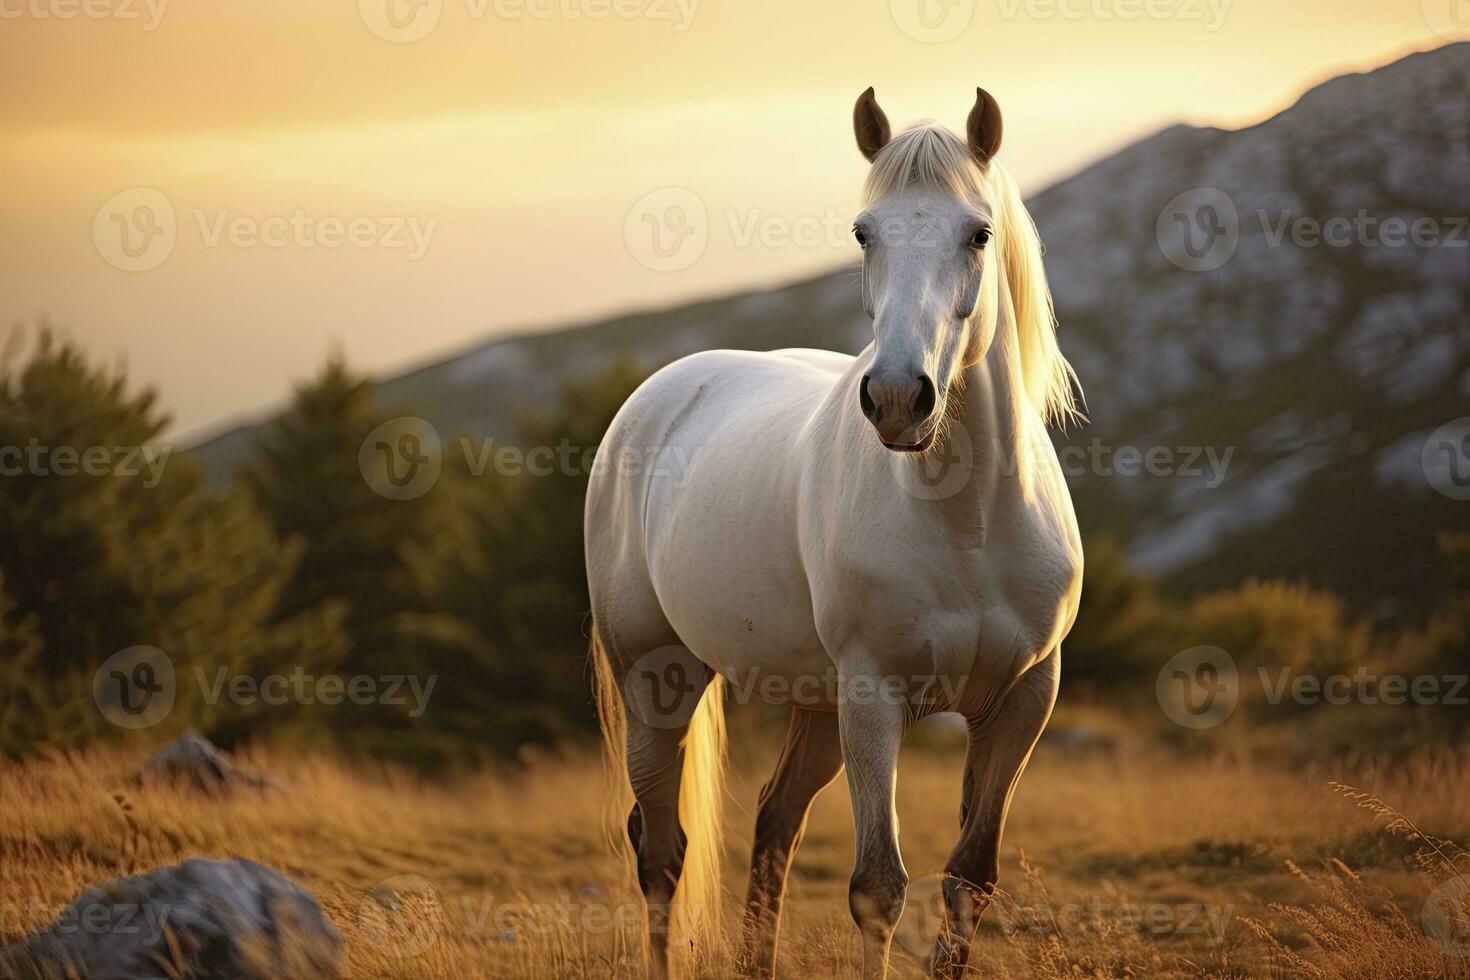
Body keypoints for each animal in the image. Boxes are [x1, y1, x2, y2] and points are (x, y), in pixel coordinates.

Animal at [590, 88, 1087, 975]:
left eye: (978, 233)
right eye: (864, 232)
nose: (896, 400)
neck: (969, 523)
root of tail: (657, 393)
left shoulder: (1024, 699)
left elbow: (969, 880)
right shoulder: (873, 698)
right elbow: (878, 888)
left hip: (815, 707)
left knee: (772, 824)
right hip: (658, 682)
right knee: (661, 853)